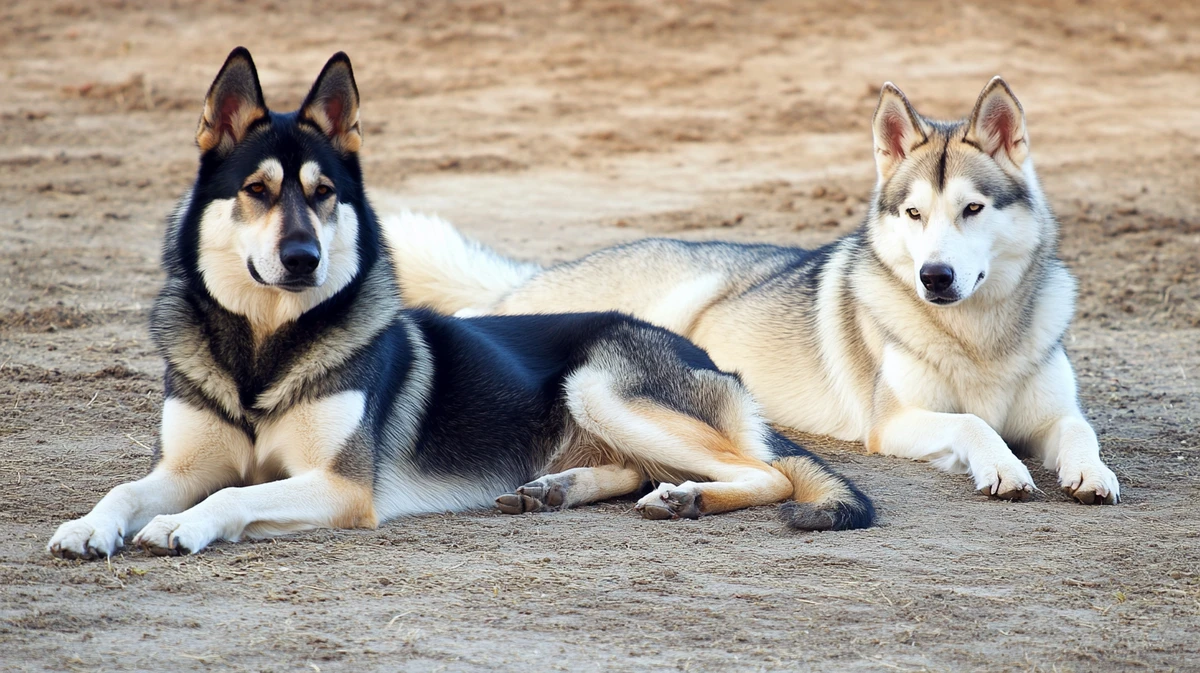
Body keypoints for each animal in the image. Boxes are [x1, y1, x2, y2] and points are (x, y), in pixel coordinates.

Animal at [46, 48, 873, 561]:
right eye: (257, 191)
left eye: (324, 193)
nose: (303, 258)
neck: (264, 347)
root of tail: (696, 347)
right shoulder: (185, 462)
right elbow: (127, 488)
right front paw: (88, 527)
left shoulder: (340, 486)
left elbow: (224, 501)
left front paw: (179, 526)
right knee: (639, 471)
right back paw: (557, 487)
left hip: (600, 388)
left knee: (765, 472)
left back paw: (687, 497)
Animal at [388, 76, 1118, 501]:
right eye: (914, 214)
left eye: (972, 209)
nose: (933, 276)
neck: (978, 338)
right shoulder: (895, 422)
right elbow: (972, 423)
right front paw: (1004, 466)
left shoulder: (1053, 413)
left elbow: (1079, 430)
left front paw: (1091, 472)